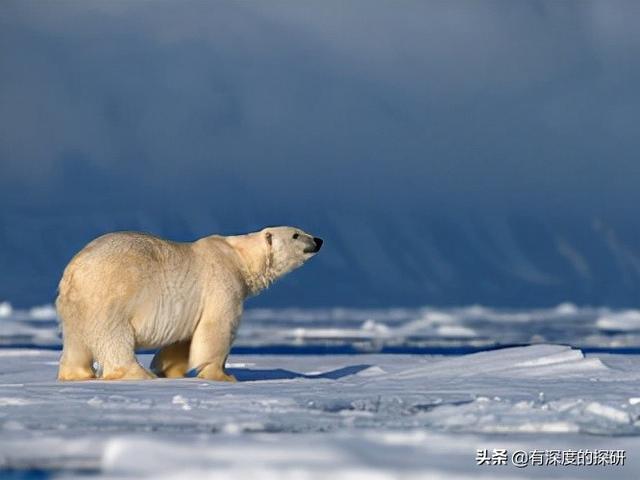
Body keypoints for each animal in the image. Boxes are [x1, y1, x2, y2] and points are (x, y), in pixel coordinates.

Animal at [54, 227, 322, 380]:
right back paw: (137, 374)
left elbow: (184, 340)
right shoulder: (222, 283)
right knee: (114, 337)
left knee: (77, 342)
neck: (239, 258)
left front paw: (169, 368)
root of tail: (73, 270)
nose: (318, 240)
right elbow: (216, 328)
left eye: (302, 229)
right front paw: (222, 375)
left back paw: (78, 375)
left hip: (77, 305)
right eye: (296, 234)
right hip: (111, 294)